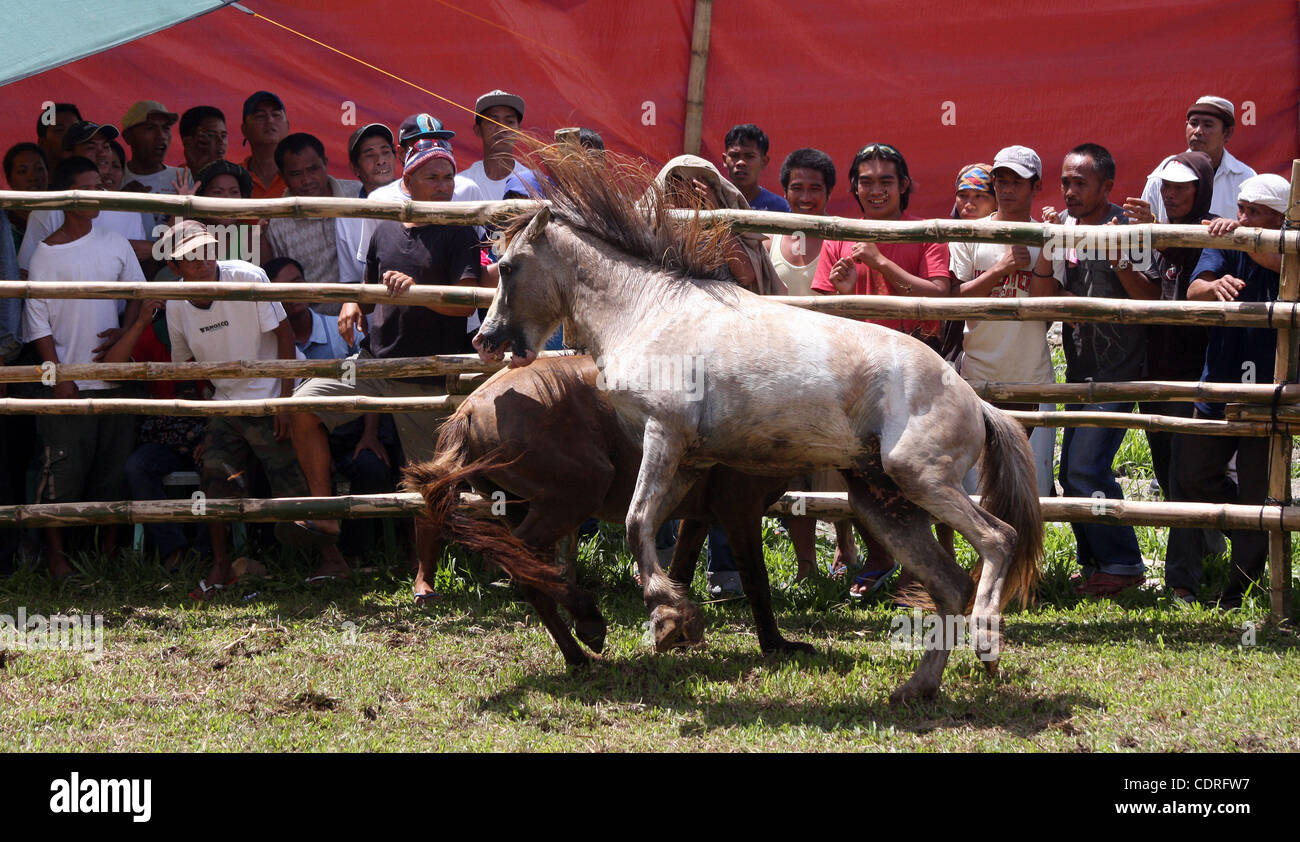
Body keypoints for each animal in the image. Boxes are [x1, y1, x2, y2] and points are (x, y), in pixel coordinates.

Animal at [405, 353, 811, 665]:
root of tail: (469, 409)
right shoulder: (740, 510)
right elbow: (756, 578)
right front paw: (776, 645)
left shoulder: (700, 516)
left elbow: (679, 570)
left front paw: (675, 626)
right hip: (576, 495)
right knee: (520, 564)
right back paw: (587, 620)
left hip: (523, 508)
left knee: (530, 569)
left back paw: (579, 649)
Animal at [473, 146, 1040, 701]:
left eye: (507, 267)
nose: (487, 339)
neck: (648, 312)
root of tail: (977, 403)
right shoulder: (685, 458)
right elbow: (650, 529)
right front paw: (673, 618)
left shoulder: (664, 434)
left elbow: (637, 523)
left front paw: (668, 620)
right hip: (883, 504)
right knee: (949, 585)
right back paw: (916, 686)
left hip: (920, 478)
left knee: (998, 539)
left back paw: (986, 640)